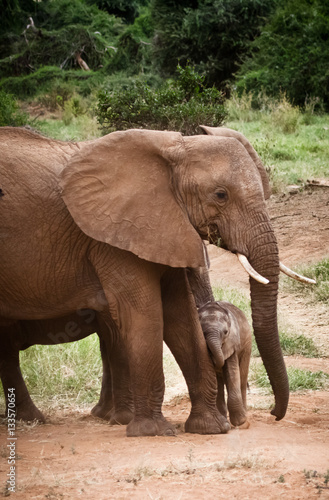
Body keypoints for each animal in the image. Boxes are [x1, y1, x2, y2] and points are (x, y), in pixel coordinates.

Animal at [197, 298, 251, 428]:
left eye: (226, 332)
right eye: (202, 333)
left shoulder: (232, 343)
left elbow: (232, 372)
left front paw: (240, 422)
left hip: (247, 346)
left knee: (242, 377)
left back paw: (244, 419)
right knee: (220, 383)